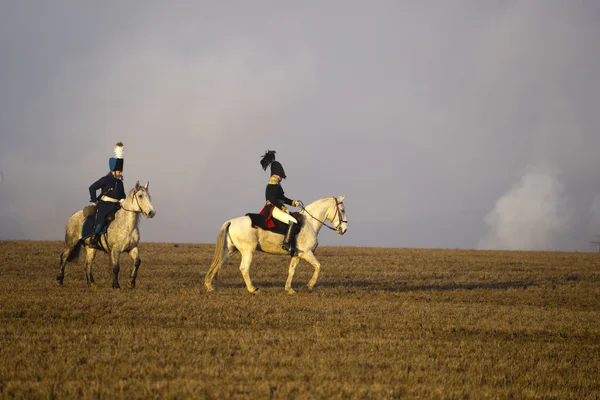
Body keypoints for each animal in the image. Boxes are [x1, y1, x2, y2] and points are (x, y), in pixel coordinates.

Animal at [205, 196, 346, 294]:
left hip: (230, 250)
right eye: (343, 210)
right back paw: (253, 289)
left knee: (218, 263)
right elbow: (318, 266)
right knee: (244, 268)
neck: (310, 223)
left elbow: (292, 271)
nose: (344, 230)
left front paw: (289, 289)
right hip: (248, 251)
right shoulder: (306, 253)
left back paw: (209, 286)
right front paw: (309, 285)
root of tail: (231, 221)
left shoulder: (296, 255)